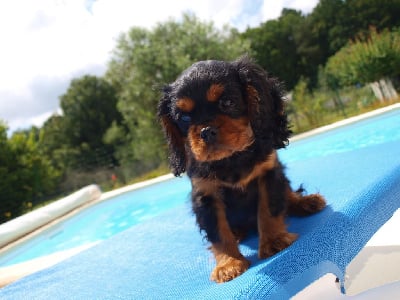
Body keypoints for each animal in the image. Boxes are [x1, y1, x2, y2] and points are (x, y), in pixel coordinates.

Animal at [156, 56, 324, 284]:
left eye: (227, 102)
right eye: (184, 118)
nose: (206, 131)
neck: (231, 159)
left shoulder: (269, 174)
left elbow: (268, 210)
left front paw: (274, 241)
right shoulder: (206, 195)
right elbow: (217, 231)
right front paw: (229, 264)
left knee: (288, 194)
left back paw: (306, 202)